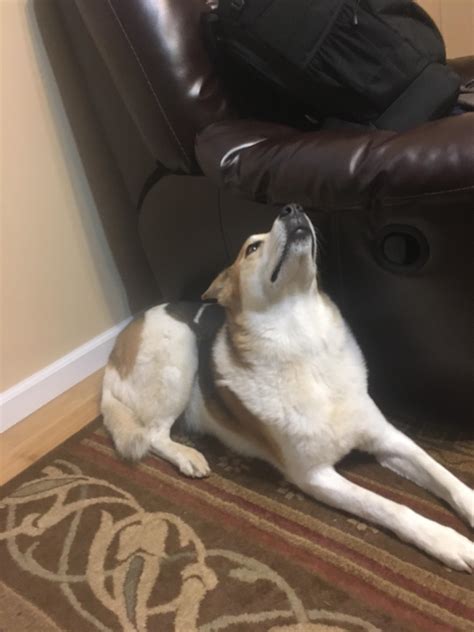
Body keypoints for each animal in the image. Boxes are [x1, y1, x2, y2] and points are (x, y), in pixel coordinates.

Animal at [102, 204, 472, 572]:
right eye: (252, 247)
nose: (291, 208)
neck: (304, 342)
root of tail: (112, 357)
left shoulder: (388, 438)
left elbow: (444, 476)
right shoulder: (315, 476)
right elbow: (387, 506)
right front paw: (447, 541)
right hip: (179, 347)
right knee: (153, 434)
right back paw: (187, 456)